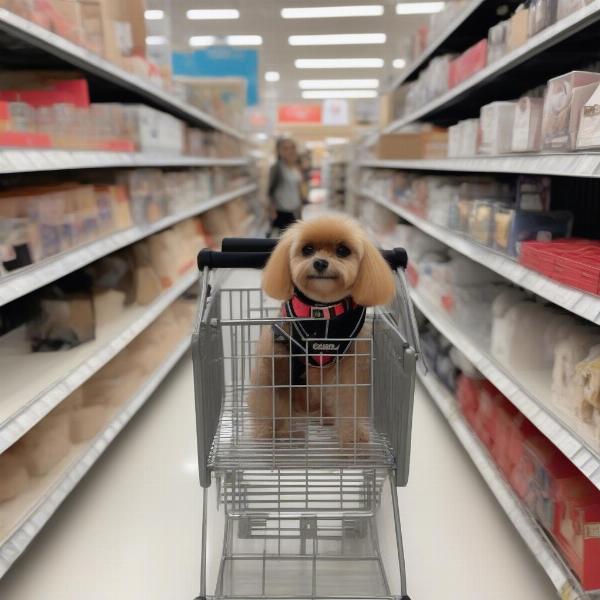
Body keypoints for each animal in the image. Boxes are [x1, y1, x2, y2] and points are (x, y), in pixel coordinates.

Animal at [248, 216, 398, 446]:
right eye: (307, 249)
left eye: (343, 250)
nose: (320, 263)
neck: (321, 312)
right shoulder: (274, 361)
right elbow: (268, 399)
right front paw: (267, 431)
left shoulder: (351, 369)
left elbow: (349, 401)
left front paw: (353, 436)